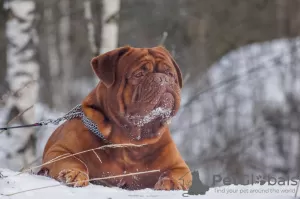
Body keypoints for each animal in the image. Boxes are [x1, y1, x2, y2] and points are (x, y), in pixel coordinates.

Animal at [38, 45, 192, 190]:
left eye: (170, 73)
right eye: (139, 74)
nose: (163, 78)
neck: (130, 142)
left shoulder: (179, 165)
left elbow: (173, 173)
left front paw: (171, 182)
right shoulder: (59, 151)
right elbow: (74, 161)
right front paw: (75, 173)